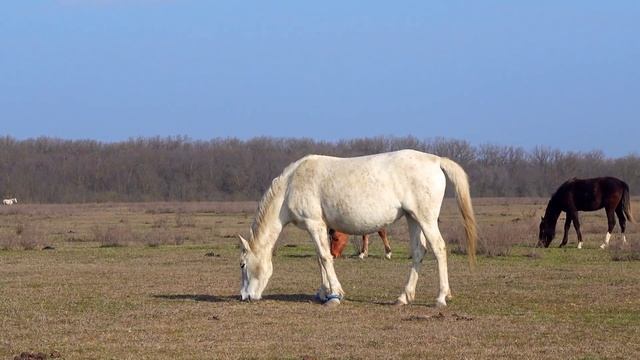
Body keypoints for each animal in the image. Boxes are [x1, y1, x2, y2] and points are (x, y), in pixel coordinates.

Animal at [239, 149, 476, 306]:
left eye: (242, 265)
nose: (245, 296)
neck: (291, 185)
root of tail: (436, 161)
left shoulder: (314, 224)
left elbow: (325, 258)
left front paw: (335, 294)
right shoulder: (318, 226)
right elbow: (320, 258)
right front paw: (324, 292)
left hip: (425, 219)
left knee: (439, 249)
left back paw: (441, 297)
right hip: (413, 219)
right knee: (419, 252)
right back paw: (404, 297)